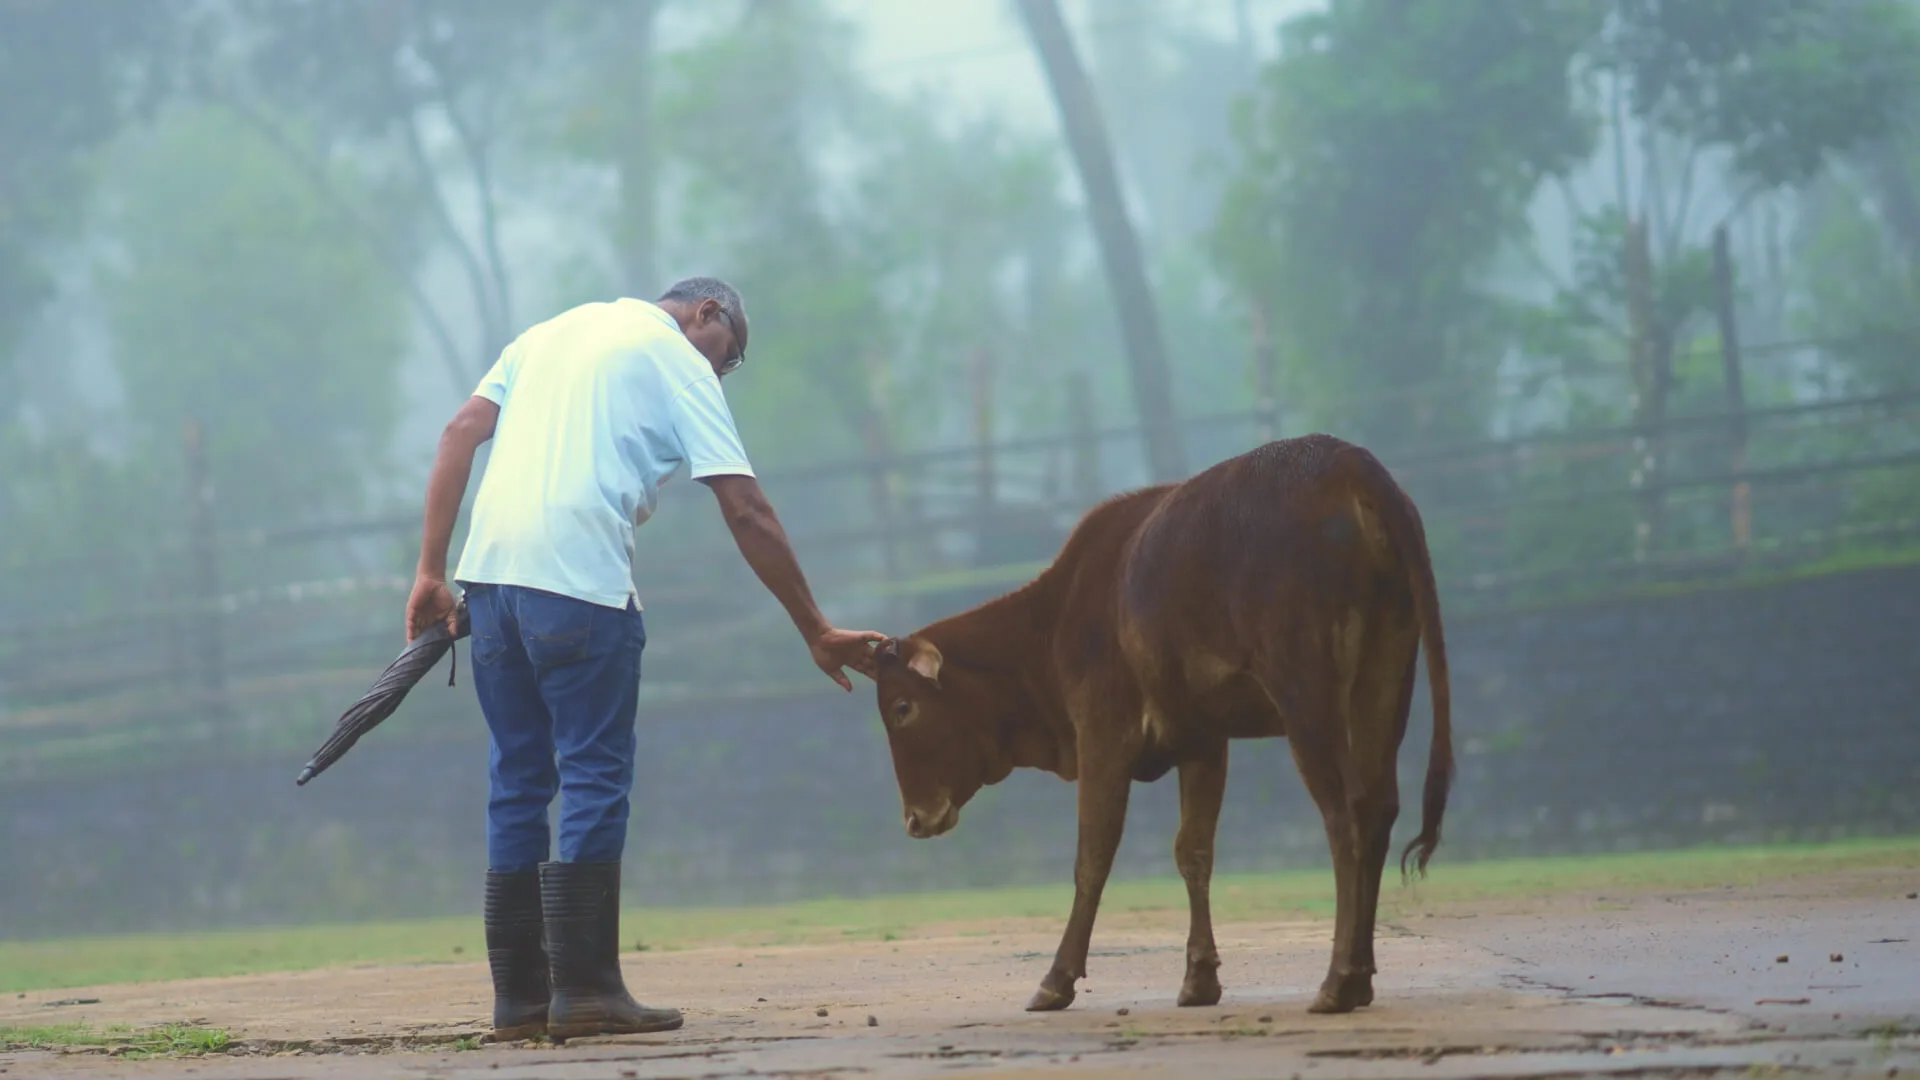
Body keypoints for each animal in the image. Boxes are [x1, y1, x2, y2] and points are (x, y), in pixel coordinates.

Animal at [870, 434, 1452, 1015]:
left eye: (902, 708)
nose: (916, 818)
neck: (1054, 623)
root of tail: (1352, 466)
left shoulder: (1102, 732)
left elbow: (1093, 855)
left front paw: (1056, 979)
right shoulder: (1203, 738)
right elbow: (1192, 850)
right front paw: (1199, 978)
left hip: (1305, 687)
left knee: (1343, 813)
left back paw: (1337, 980)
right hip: (1387, 670)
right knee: (1378, 807)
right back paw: (1362, 976)